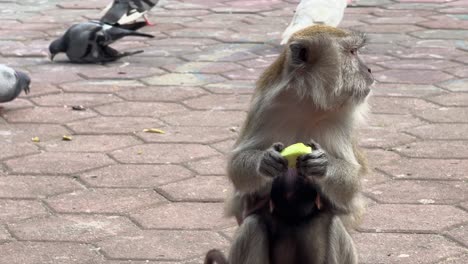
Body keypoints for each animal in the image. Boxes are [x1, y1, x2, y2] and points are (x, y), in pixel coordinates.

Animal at [207, 25, 374, 264]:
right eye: (352, 52)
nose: (369, 70)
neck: (309, 101)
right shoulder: (265, 106)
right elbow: (237, 164)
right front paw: (264, 162)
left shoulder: (343, 120)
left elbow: (350, 186)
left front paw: (324, 165)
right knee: (252, 225)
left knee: (333, 224)